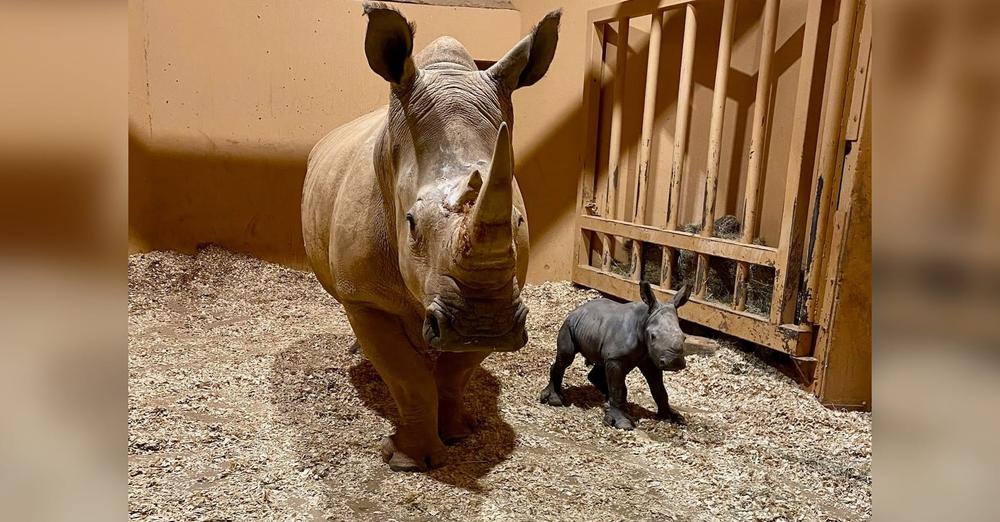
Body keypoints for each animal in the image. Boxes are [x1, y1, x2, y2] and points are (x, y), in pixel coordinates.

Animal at [540, 282, 688, 428]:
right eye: (652, 336)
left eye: (684, 337)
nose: (674, 362)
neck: (645, 319)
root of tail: (578, 309)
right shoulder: (616, 359)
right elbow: (617, 389)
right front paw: (622, 423)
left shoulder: (650, 358)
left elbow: (659, 389)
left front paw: (672, 417)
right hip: (568, 325)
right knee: (566, 357)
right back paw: (555, 400)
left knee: (600, 365)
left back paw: (607, 403)